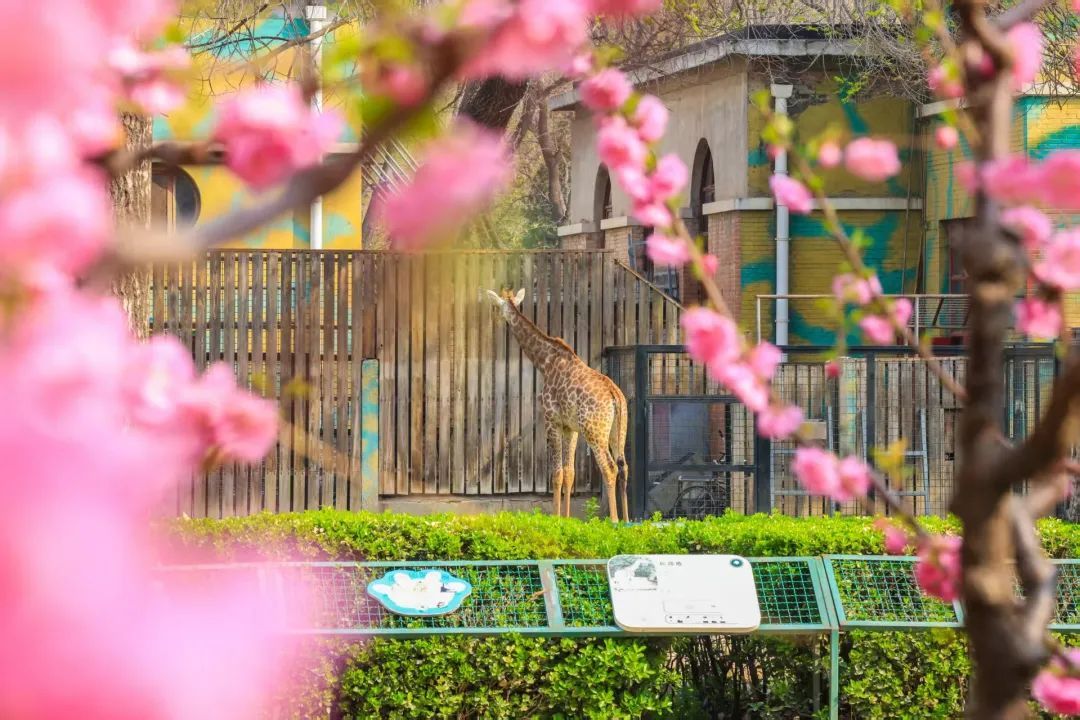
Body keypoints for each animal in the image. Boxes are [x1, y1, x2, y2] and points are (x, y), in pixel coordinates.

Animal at [486, 289, 630, 520]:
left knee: (609, 468)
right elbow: (569, 473)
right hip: (617, 430)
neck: (545, 362)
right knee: (623, 466)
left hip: (594, 431)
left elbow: (556, 473)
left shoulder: (551, 420)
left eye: (497, 306)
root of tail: (614, 395)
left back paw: (615, 521)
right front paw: (567, 518)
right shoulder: (570, 427)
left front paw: (555, 518)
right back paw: (627, 520)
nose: (498, 321)